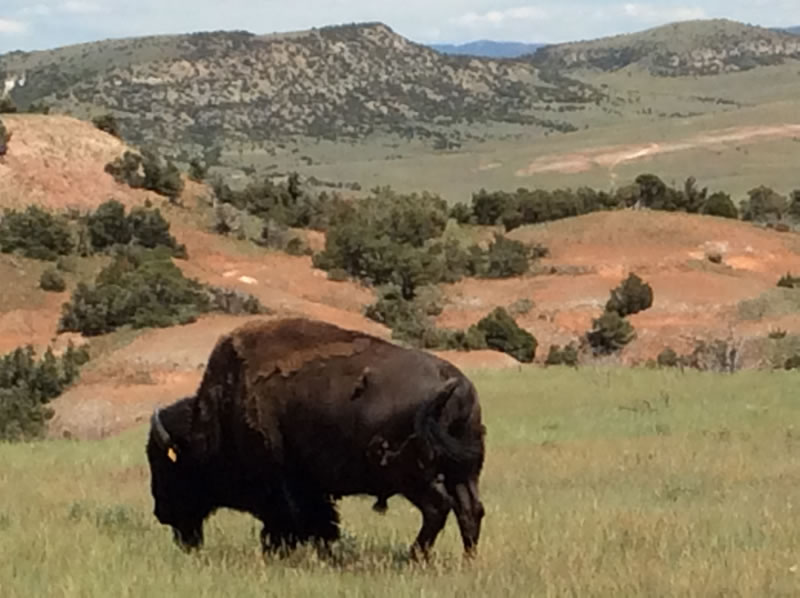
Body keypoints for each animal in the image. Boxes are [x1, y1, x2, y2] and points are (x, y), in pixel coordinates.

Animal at [146, 317, 486, 559]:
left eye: (167, 466)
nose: (161, 513)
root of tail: (453, 381)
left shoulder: (285, 486)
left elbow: (296, 522)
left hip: (411, 474)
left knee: (438, 508)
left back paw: (413, 556)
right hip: (463, 471)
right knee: (469, 510)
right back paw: (466, 560)